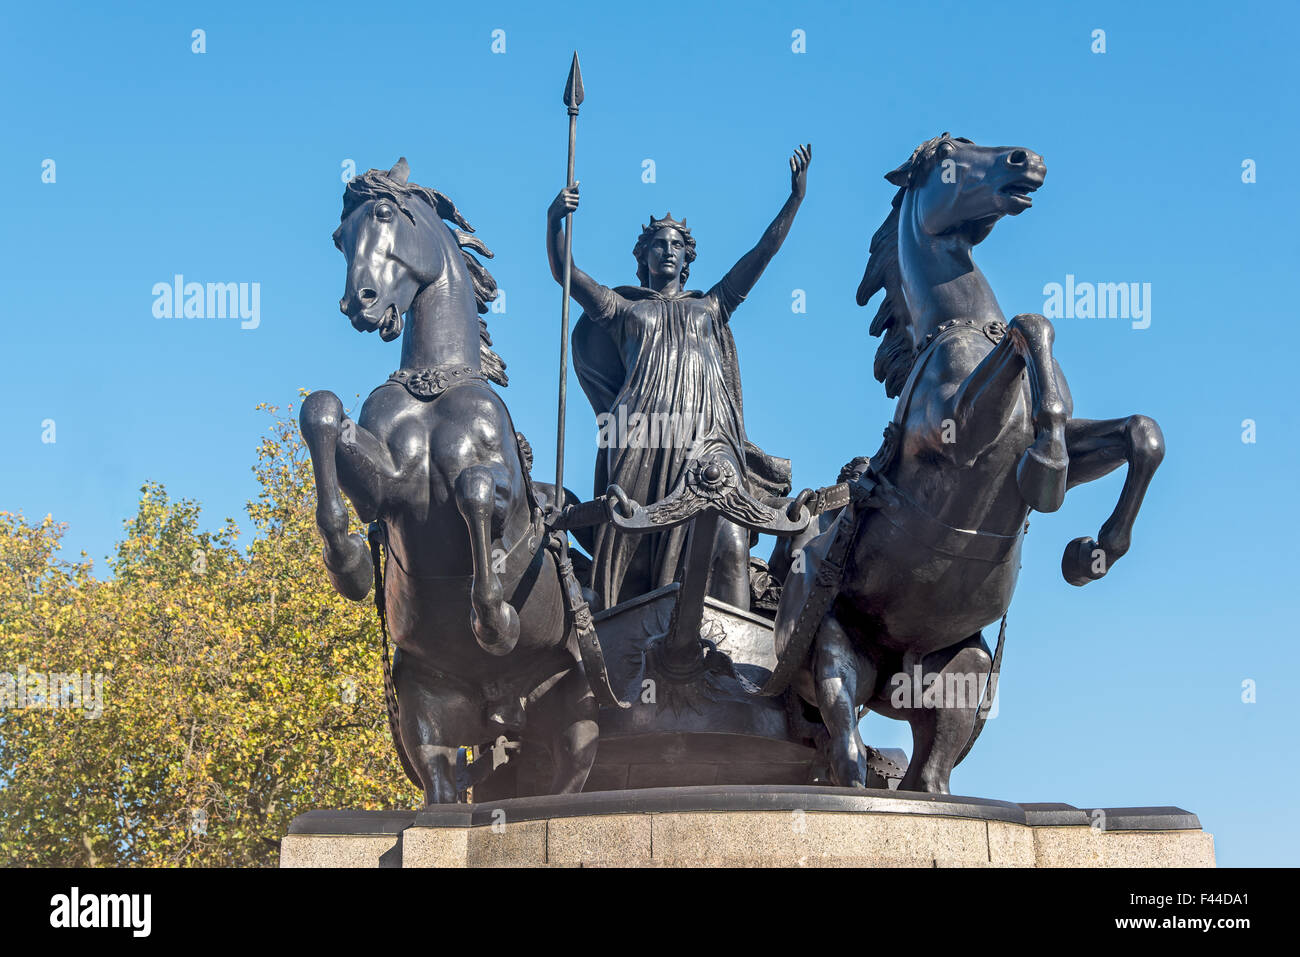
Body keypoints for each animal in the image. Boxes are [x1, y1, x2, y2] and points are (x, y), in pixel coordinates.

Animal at [769, 132, 1170, 790]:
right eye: (948, 157)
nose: (1026, 159)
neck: (965, 330)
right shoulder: (958, 429)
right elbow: (1032, 323)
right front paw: (1046, 469)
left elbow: (1142, 434)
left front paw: (1092, 552)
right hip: (831, 652)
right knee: (847, 747)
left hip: (962, 671)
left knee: (928, 778)